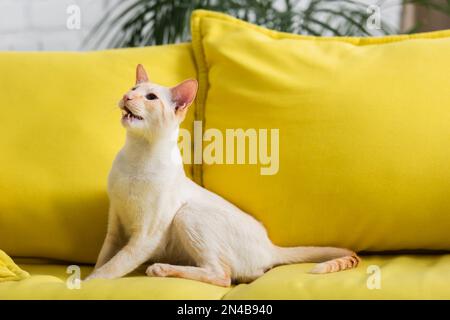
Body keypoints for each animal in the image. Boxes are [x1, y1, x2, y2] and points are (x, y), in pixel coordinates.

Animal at [83, 63, 358, 286]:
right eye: (133, 88)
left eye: (151, 97)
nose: (126, 96)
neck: (136, 155)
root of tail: (271, 247)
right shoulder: (116, 224)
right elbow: (103, 259)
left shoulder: (146, 236)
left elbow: (110, 269)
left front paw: (83, 285)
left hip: (187, 214)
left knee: (223, 275)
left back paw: (160, 269)